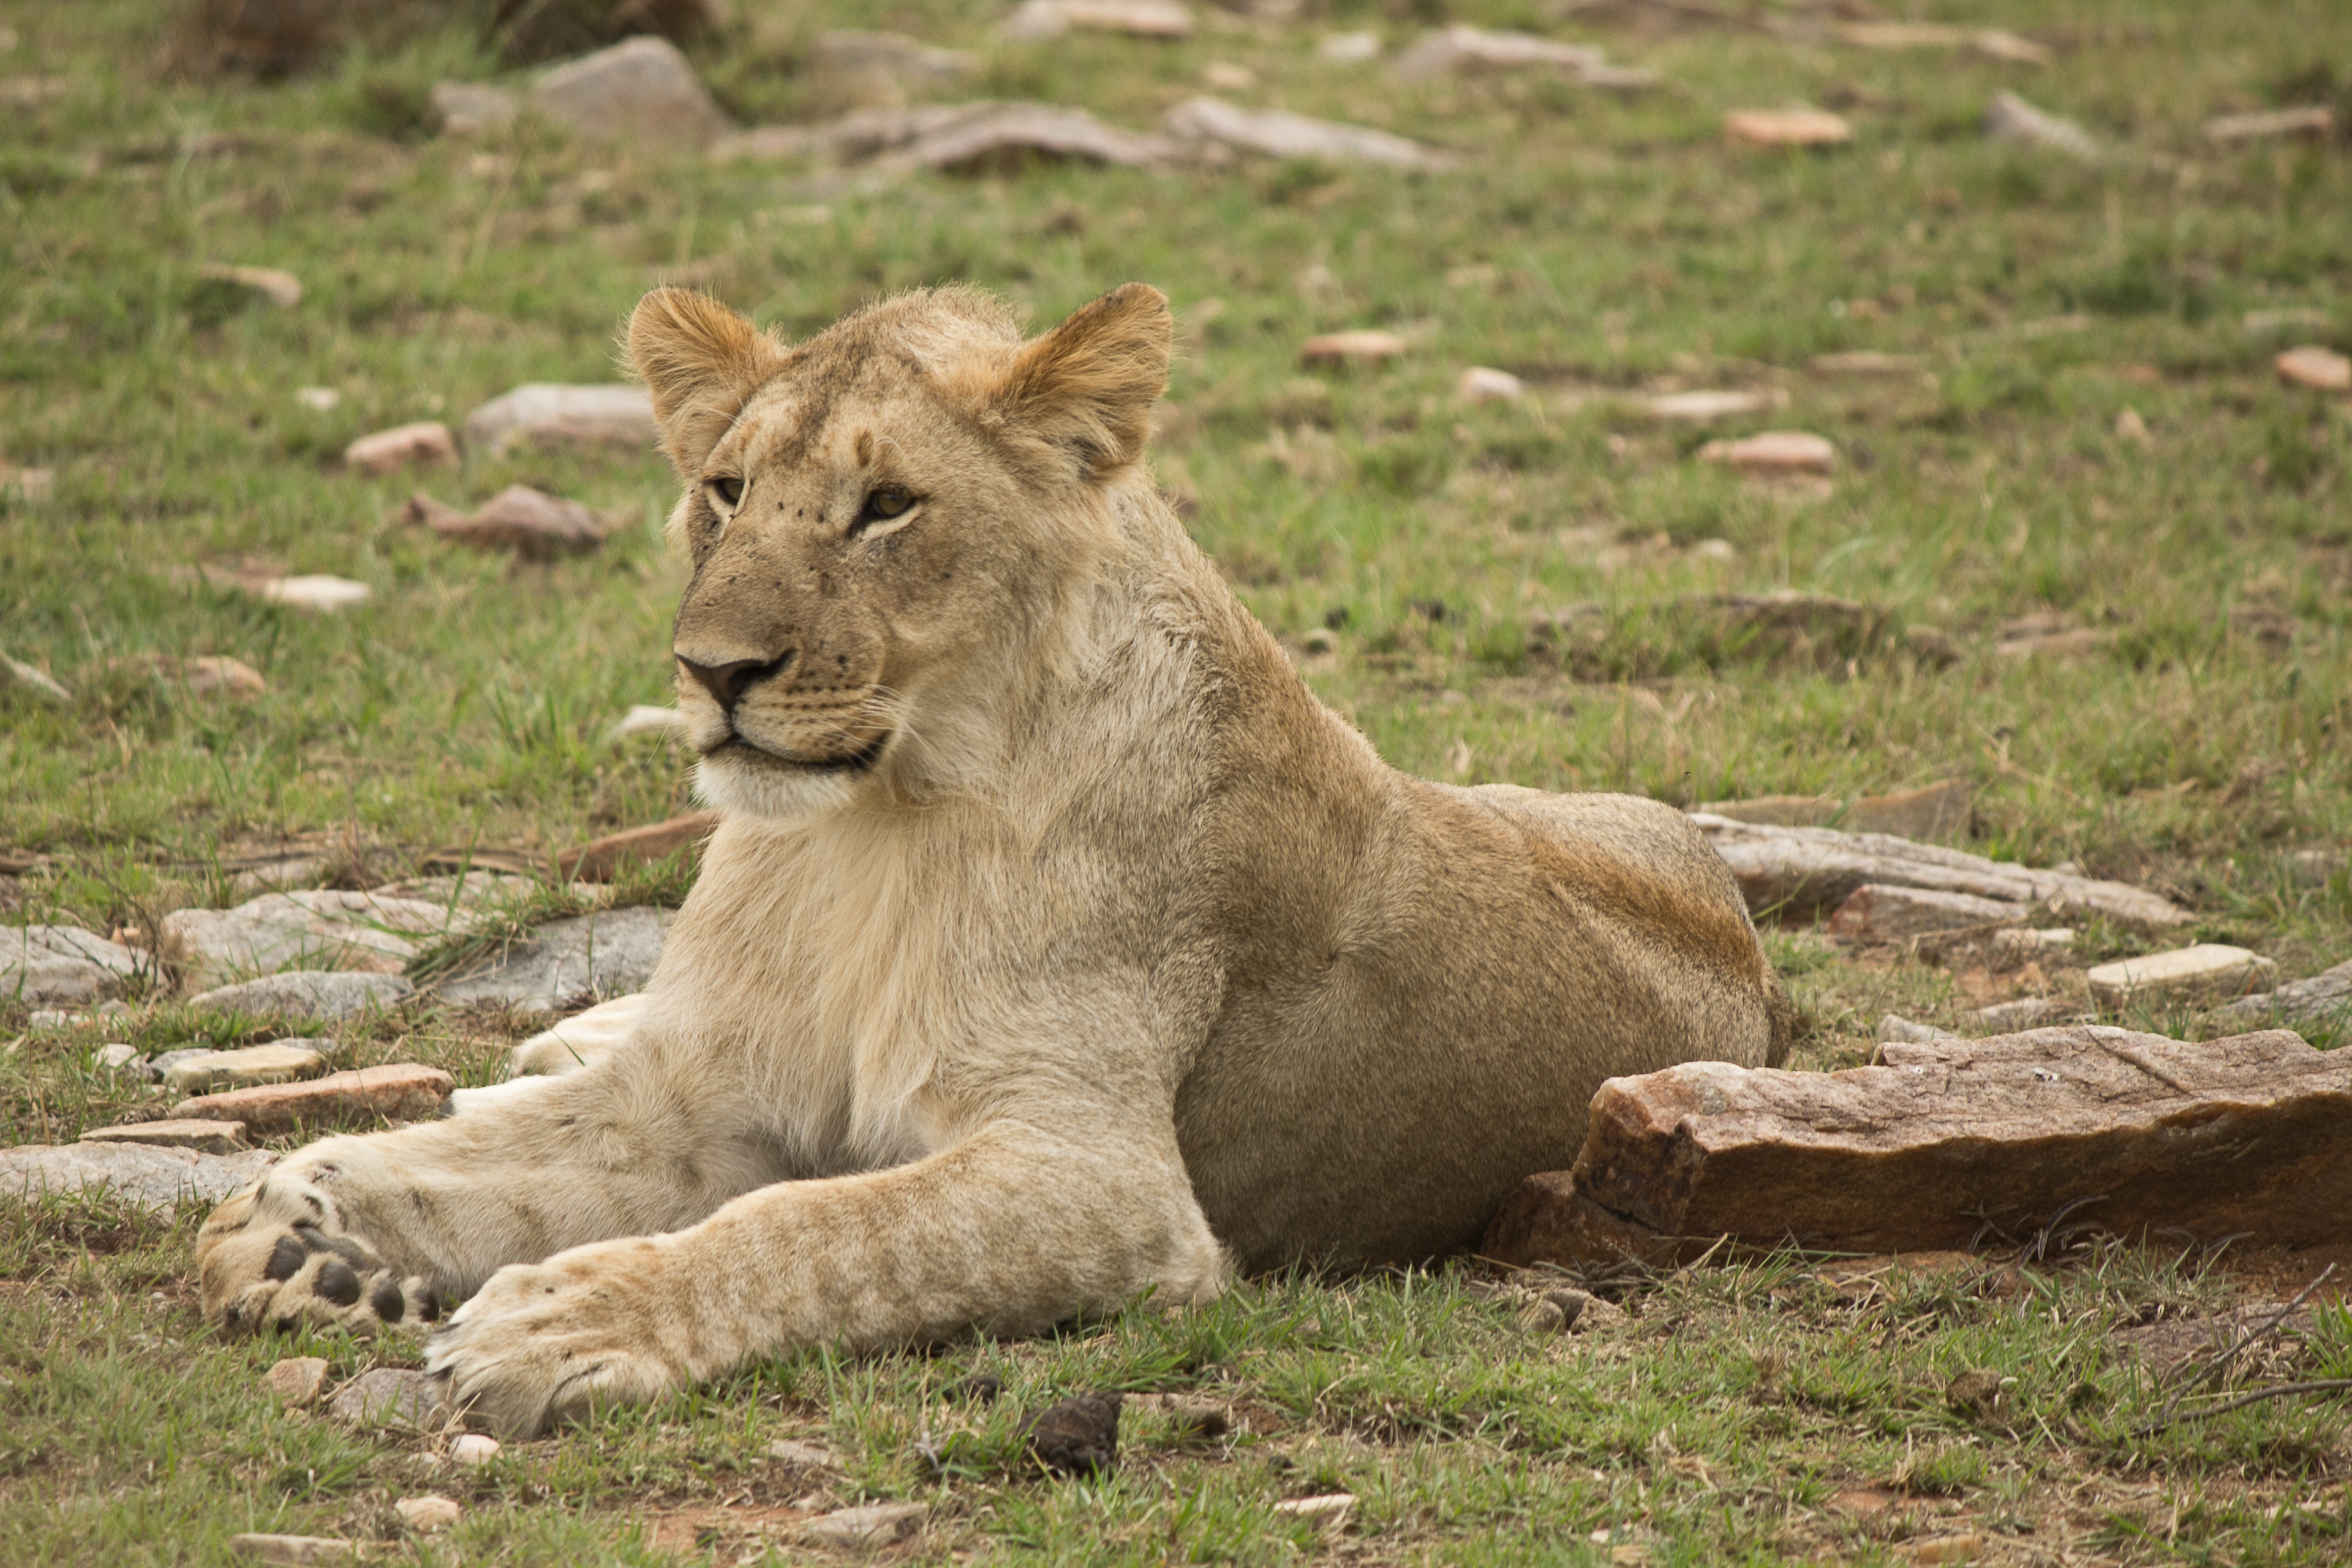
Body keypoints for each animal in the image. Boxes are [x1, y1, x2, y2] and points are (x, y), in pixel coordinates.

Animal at [196, 282, 1788, 1436]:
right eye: (723, 488)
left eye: (885, 504)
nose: (713, 669)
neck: (865, 828)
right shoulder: (697, 1096)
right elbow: (494, 1157)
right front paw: (302, 1227)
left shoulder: (1100, 1176)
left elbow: (808, 1222)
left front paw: (565, 1319)